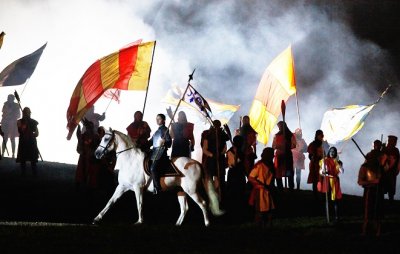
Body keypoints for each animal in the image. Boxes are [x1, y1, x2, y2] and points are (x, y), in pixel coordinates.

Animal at [94, 130, 225, 225]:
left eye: (106, 139)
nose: (97, 154)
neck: (130, 160)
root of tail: (197, 163)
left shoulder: (138, 187)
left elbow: (139, 203)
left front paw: (139, 221)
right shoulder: (122, 187)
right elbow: (110, 202)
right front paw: (97, 218)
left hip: (191, 190)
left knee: (203, 203)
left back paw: (207, 223)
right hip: (181, 191)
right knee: (185, 208)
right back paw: (177, 225)